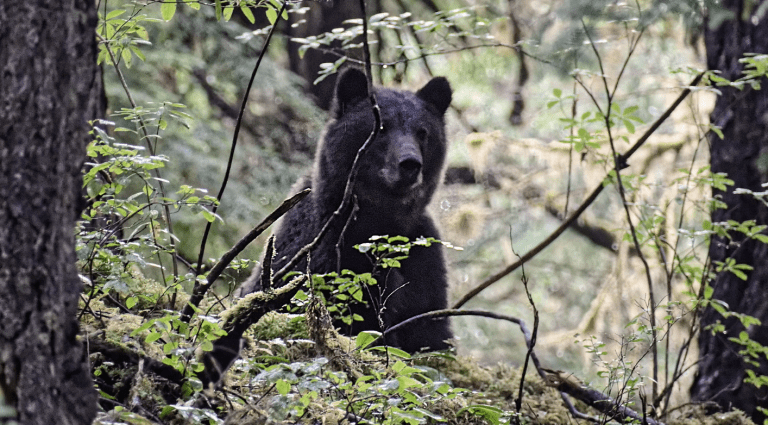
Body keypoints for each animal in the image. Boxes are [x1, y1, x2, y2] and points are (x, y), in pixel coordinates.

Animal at [239, 68, 453, 353]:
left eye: (422, 132)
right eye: (381, 127)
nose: (410, 164)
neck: (378, 220)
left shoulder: (420, 255)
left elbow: (429, 327)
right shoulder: (325, 253)